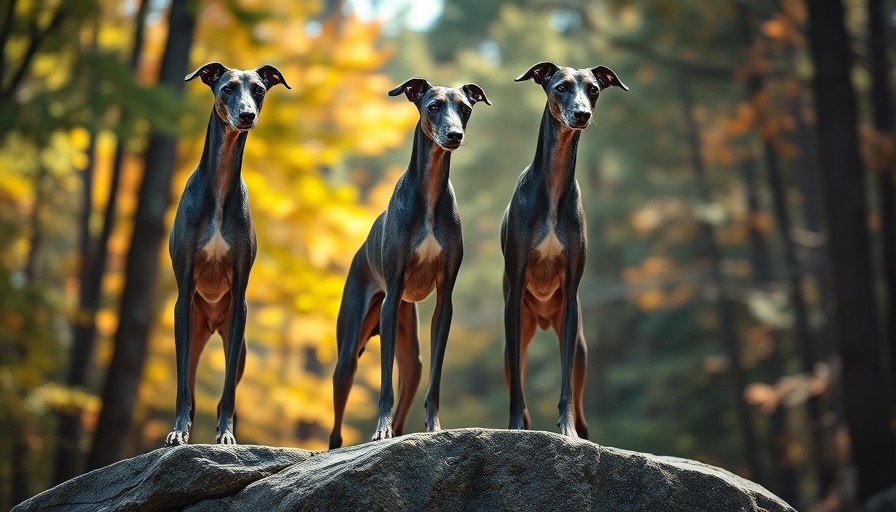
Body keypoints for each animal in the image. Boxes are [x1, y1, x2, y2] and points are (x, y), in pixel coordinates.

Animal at [168, 62, 290, 444]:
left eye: (260, 90)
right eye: (227, 88)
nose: (247, 115)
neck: (219, 190)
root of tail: (210, 322)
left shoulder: (239, 301)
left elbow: (228, 395)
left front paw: (225, 434)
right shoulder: (183, 296)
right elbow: (183, 389)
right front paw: (177, 433)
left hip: (235, 342)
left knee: (227, 386)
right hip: (193, 332)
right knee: (190, 389)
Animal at [330, 77, 490, 448]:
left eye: (465, 108)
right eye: (433, 106)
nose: (454, 135)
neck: (429, 194)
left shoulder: (444, 302)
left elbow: (436, 378)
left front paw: (434, 427)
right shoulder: (390, 301)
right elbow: (385, 383)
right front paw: (380, 429)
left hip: (411, 357)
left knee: (412, 383)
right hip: (348, 357)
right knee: (336, 428)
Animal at [500, 60, 628, 436]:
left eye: (594, 89)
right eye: (560, 87)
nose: (581, 114)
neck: (554, 186)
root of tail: (543, 320)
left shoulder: (571, 299)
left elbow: (566, 384)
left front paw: (567, 430)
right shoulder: (514, 300)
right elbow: (518, 392)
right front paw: (516, 426)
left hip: (580, 348)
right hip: (517, 335)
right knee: (516, 374)